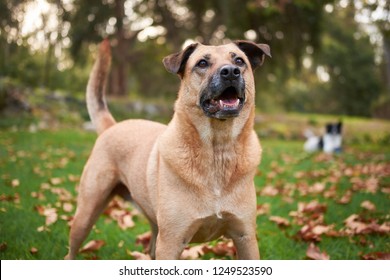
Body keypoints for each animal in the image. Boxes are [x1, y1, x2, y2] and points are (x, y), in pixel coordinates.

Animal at [64, 39, 272, 260]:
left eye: (239, 61)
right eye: (202, 63)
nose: (231, 72)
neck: (218, 151)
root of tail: (112, 126)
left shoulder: (246, 238)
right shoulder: (171, 243)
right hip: (86, 214)